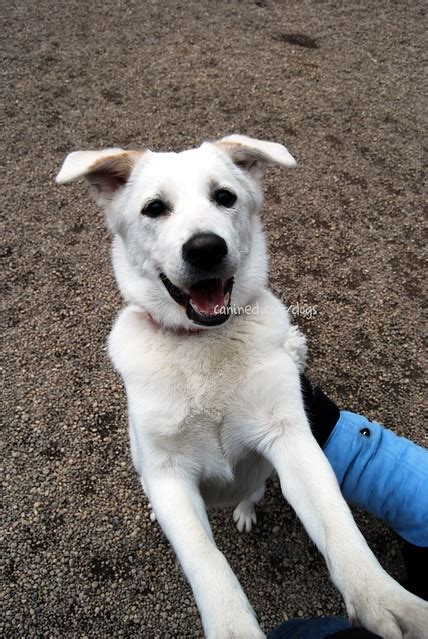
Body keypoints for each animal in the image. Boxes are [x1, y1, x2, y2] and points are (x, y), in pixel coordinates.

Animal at [57, 136, 428, 639]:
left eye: (225, 197)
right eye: (154, 208)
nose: (205, 249)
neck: (204, 346)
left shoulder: (290, 438)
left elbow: (337, 524)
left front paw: (385, 599)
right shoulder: (168, 473)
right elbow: (205, 559)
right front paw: (232, 625)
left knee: (253, 492)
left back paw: (246, 509)